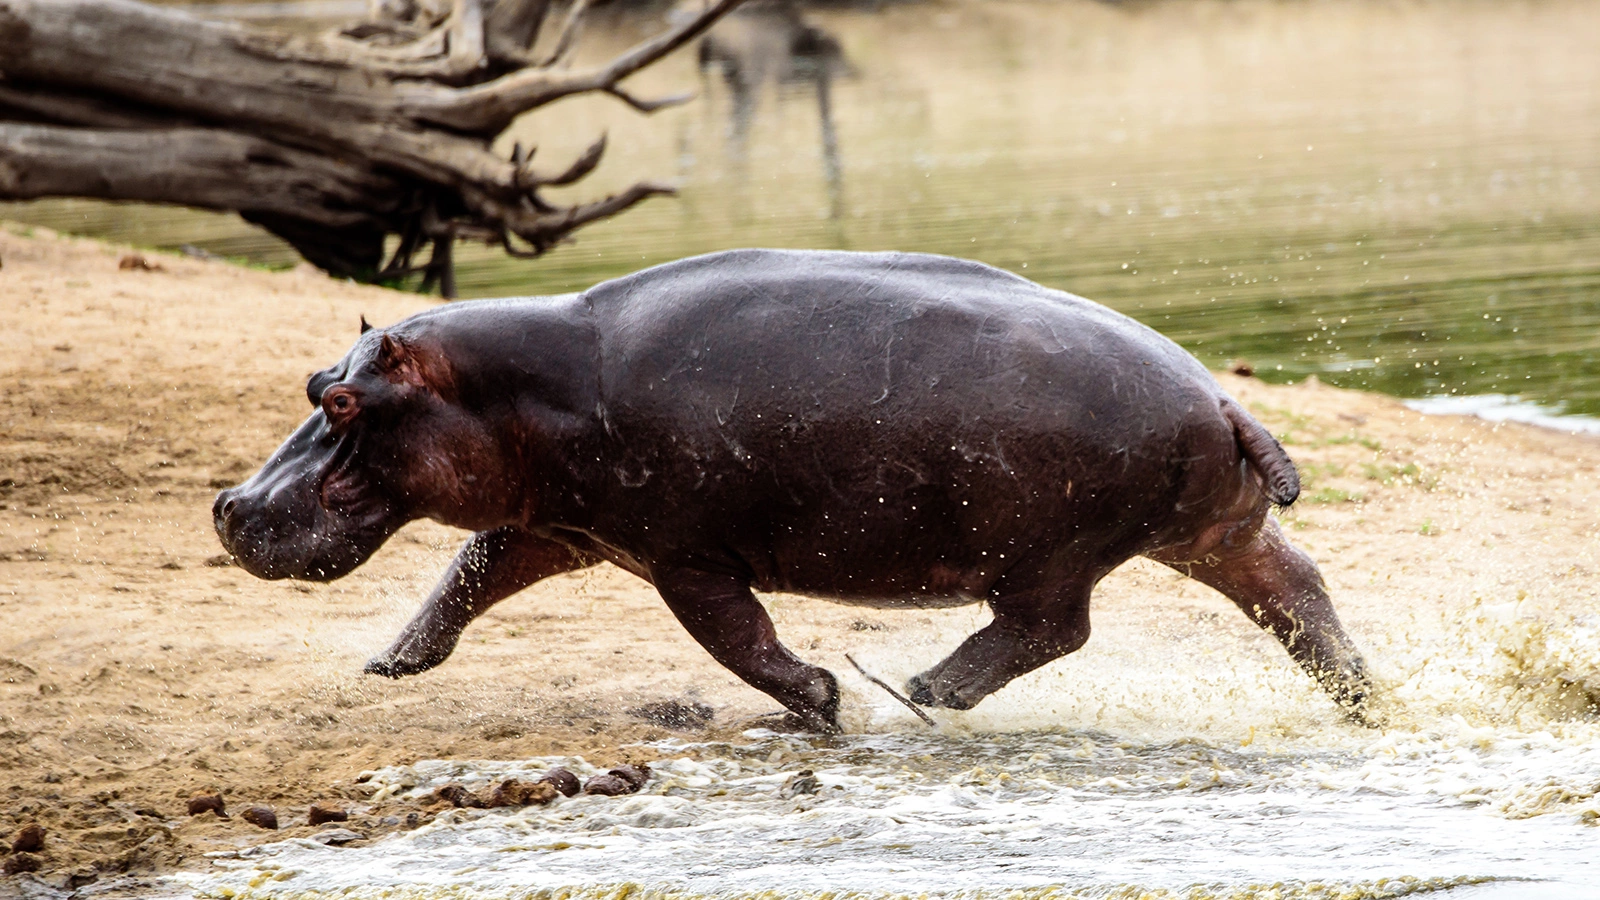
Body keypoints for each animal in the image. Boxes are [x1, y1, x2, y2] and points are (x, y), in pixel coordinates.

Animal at [212, 246, 1376, 730]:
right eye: (313, 383)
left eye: (346, 402)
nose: (227, 506)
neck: (514, 390)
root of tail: (1220, 396)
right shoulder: (563, 528)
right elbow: (468, 572)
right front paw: (388, 666)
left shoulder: (680, 555)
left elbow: (735, 640)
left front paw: (820, 701)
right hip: (1212, 533)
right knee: (1299, 593)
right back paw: (1366, 703)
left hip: (1052, 554)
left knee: (1053, 630)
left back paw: (920, 690)